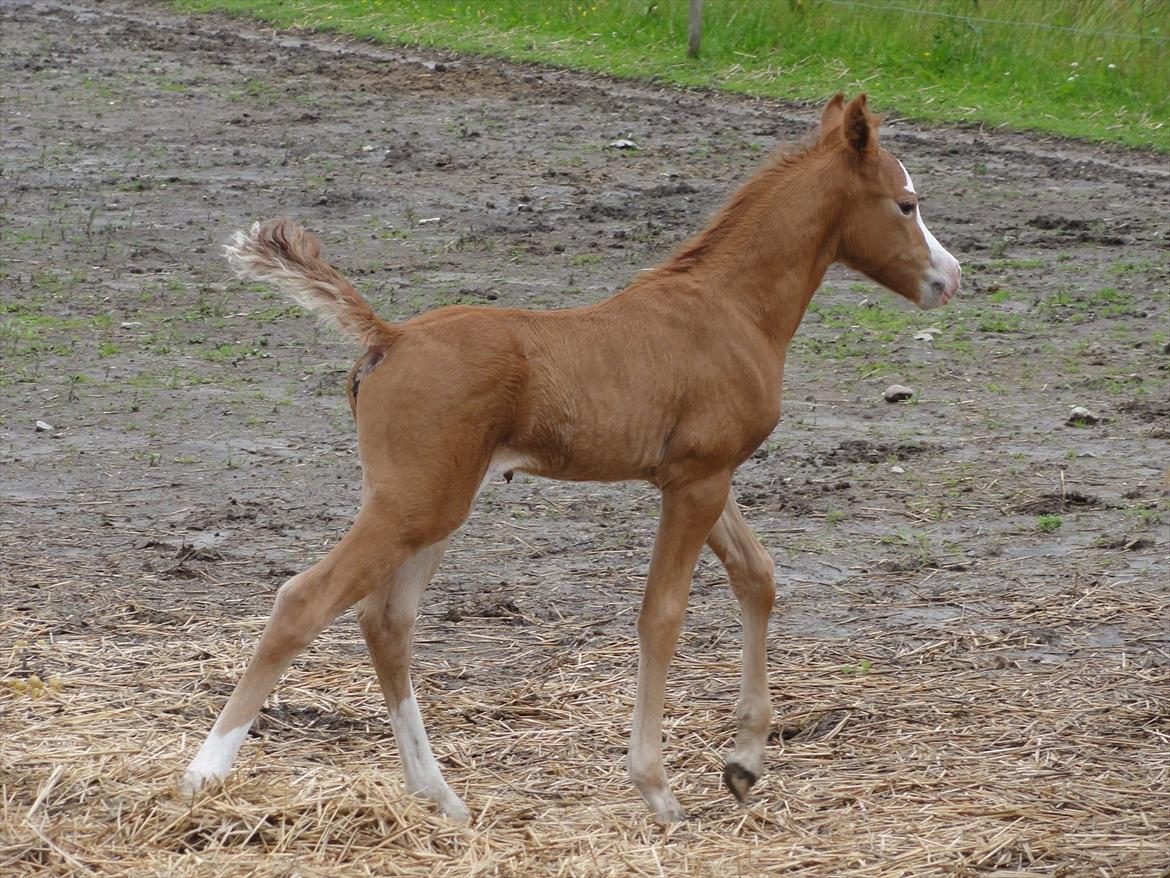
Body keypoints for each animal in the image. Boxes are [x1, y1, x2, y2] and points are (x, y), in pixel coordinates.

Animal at [180, 93, 960, 823]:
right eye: (907, 203)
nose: (949, 278)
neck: (731, 309)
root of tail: (389, 335)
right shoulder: (698, 480)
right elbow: (662, 616)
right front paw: (657, 788)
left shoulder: (700, 476)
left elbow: (758, 578)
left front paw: (743, 763)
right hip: (414, 505)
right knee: (304, 600)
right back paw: (205, 774)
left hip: (433, 508)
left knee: (386, 622)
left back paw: (440, 796)